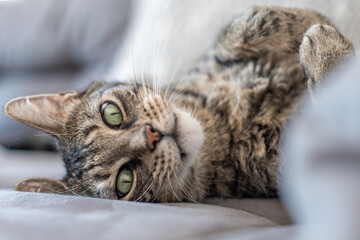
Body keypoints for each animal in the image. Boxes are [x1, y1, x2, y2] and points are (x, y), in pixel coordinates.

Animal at [3, 7, 354, 202]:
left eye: (111, 114)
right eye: (124, 182)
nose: (151, 136)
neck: (222, 118)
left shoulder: (216, 55)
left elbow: (243, 25)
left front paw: (317, 23)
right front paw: (327, 51)